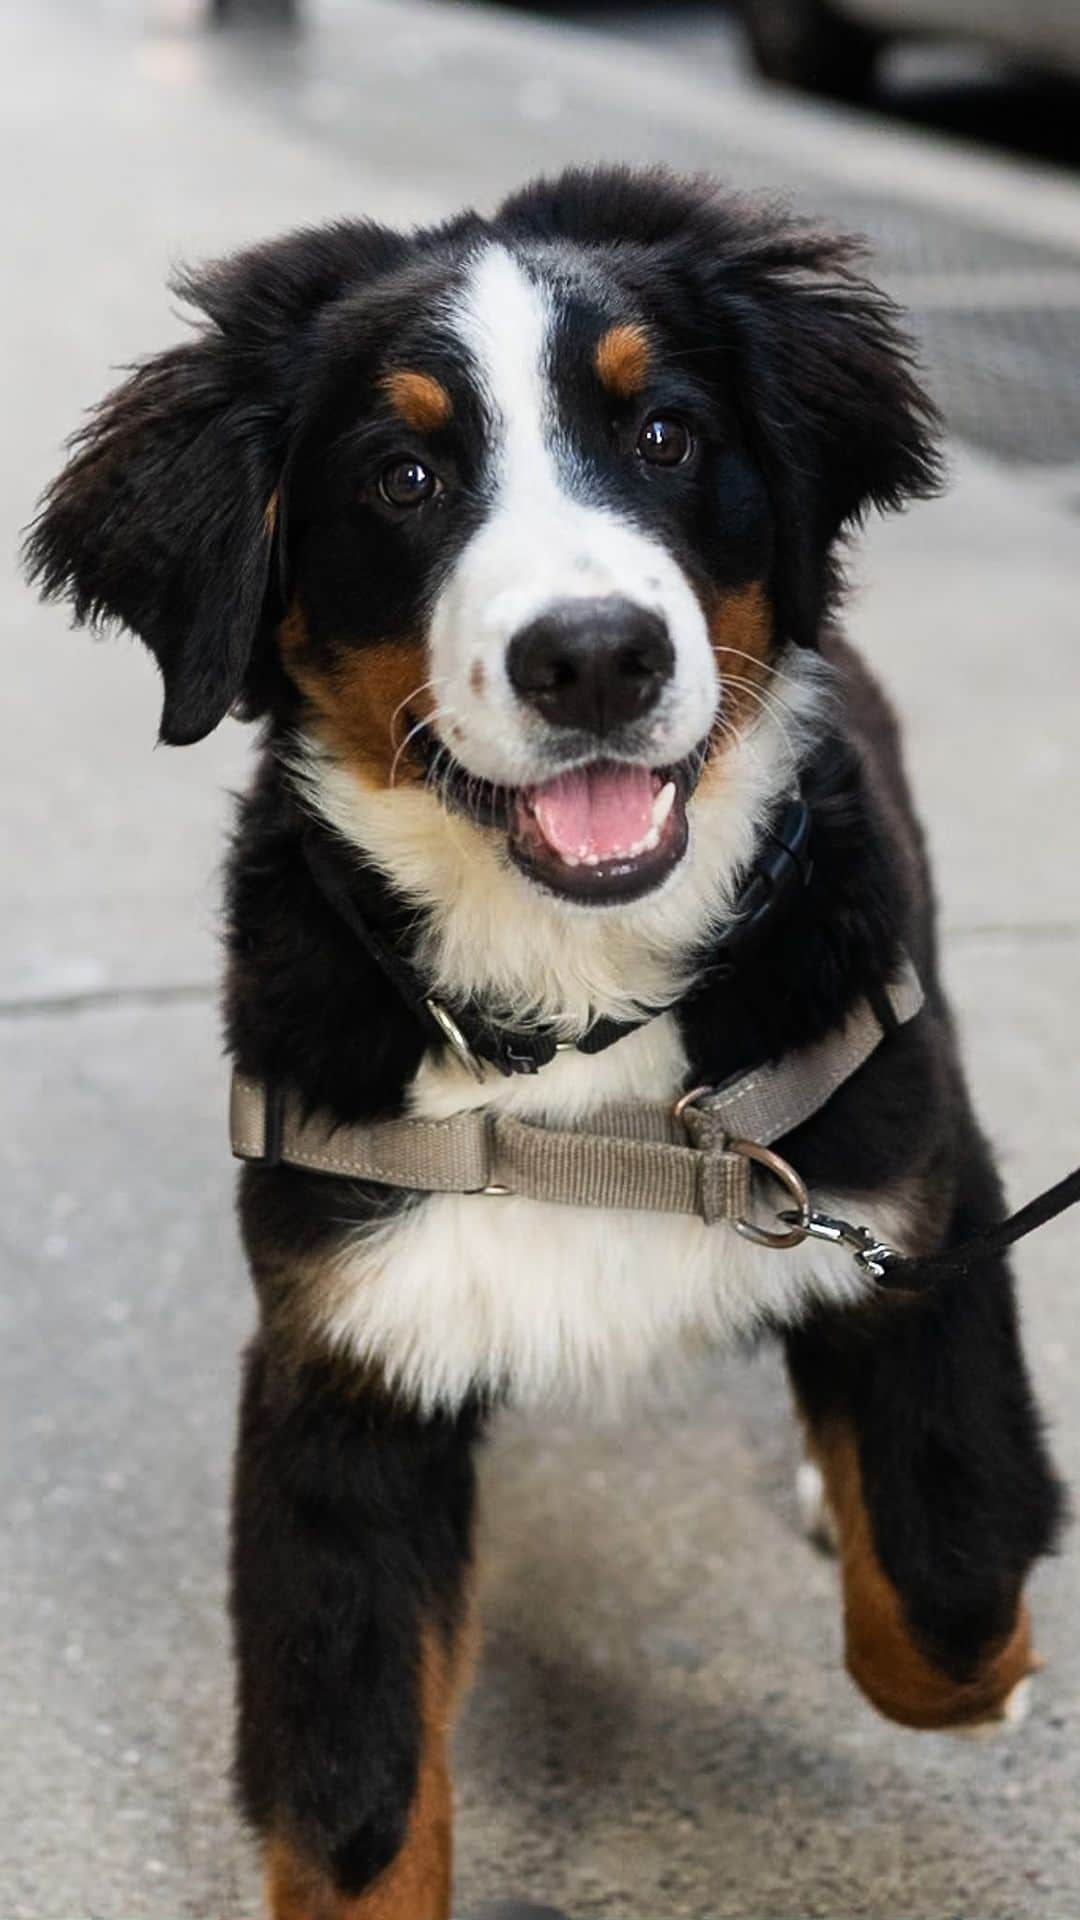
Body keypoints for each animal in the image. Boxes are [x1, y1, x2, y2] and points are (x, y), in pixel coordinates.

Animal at [27, 168, 1060, 1920]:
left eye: (664, 435)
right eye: (404, 474)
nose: (593, 656)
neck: (576, 1028)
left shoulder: (914, 1196)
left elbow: (945, 1590)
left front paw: (978, 1662)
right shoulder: (347, 1361)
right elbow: (353, 1807)